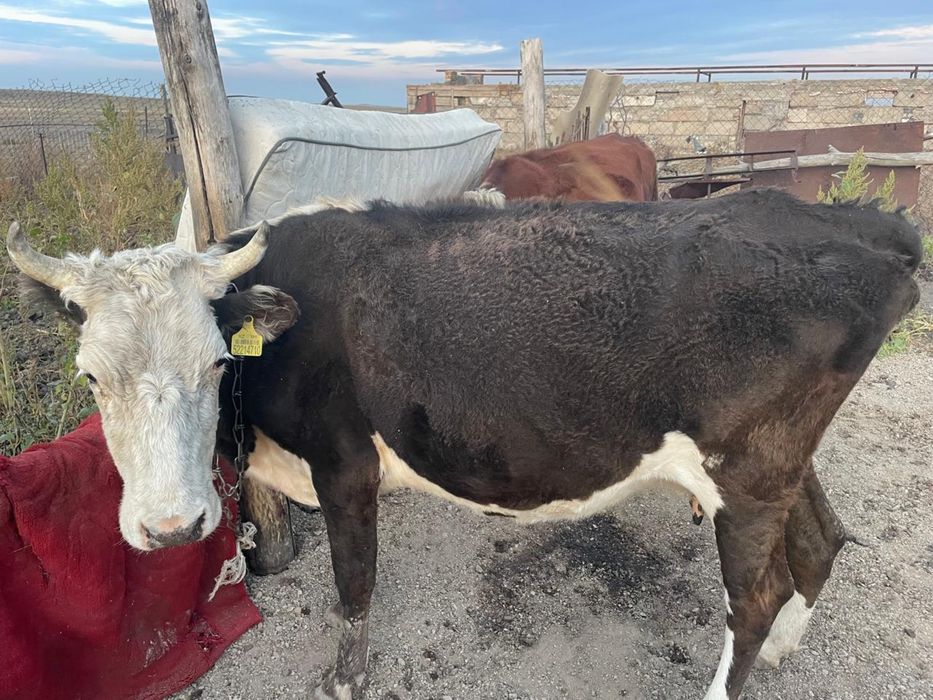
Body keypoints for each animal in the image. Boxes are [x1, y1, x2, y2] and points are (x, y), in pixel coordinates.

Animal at [6, 188, 921, 700]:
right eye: (91, 378)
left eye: (215, 360)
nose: (172, 528)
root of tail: (861, 224)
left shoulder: (344, 463)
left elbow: (353, 583)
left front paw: (345, 680)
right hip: (774, 465)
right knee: (819, 542)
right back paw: (784, 650)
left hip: (747, 471)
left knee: (754, 596)